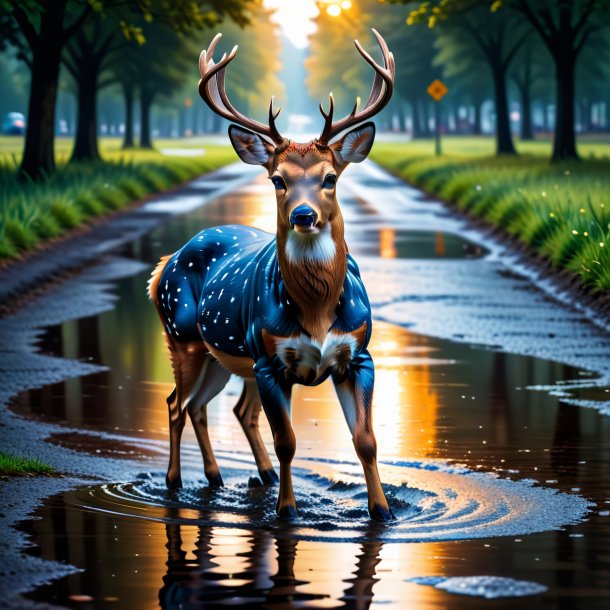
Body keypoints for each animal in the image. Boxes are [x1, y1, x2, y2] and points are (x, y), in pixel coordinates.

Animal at [148, 29, 394, 516]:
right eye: (277, 179)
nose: (303, 214)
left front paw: (381, 511)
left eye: (330, 177)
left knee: (215, 408)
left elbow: (366, 440)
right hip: (184, 337)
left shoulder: (359, 353)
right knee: (175, 403)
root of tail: (163, 266)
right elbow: (288, 442)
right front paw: (287, 510)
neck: (317, 312)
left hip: (225, 356)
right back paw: (175, 480)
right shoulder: (270, 359)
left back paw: (229, 476)